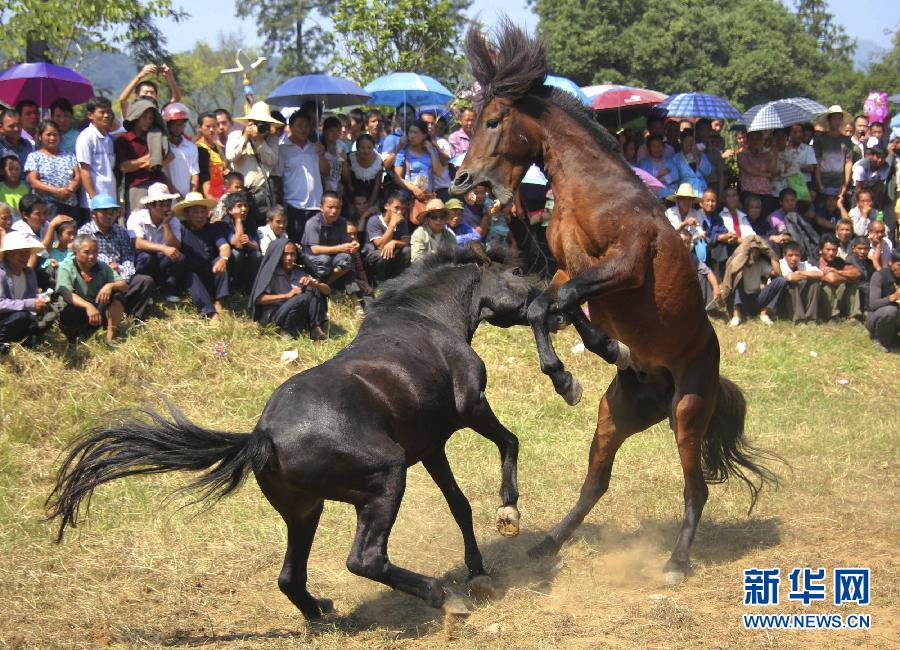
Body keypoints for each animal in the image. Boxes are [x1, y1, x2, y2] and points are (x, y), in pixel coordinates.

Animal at [47, 244, 536, 628]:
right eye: (515, 272)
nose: (540, 298)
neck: (426, 317)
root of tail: (261, 436)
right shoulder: (471, 408)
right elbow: (510, 443)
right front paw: (508, 513)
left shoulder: (432, 446)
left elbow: (459, 505)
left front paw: (478, 571)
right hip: (385, 478)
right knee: (365, 559)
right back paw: (444, 598)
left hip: (304, 509)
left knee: (290, 576)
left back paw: (320, 610)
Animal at [454, 22, 776, 580]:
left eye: (493, 121)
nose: (461, 180)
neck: (592, 190)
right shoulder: (569, 267)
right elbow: (548, 305)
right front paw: (581, 367)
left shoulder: (624, 266)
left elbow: (558, 302)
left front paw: (586, 361)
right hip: (615, 418)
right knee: (596, 483)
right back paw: (549, 542)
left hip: (688, 413)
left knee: (694, 490)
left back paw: (676, 562)